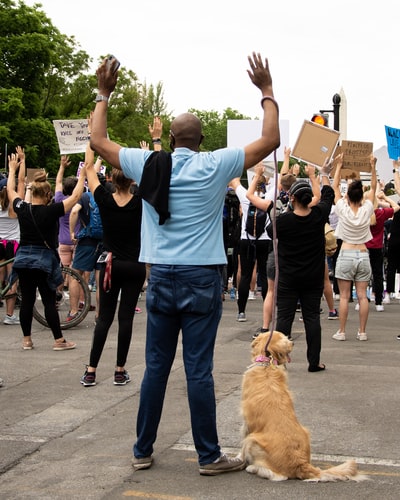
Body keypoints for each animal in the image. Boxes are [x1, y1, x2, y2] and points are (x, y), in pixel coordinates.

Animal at [239, 334, 368, 482]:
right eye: (285, 339)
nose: (293, 343)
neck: (266, 364)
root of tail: (301, 464)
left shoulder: (246, 421)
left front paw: (240, 459)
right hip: (306, 432)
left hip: (253, 440)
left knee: (278, 476)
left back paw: (252, 468)